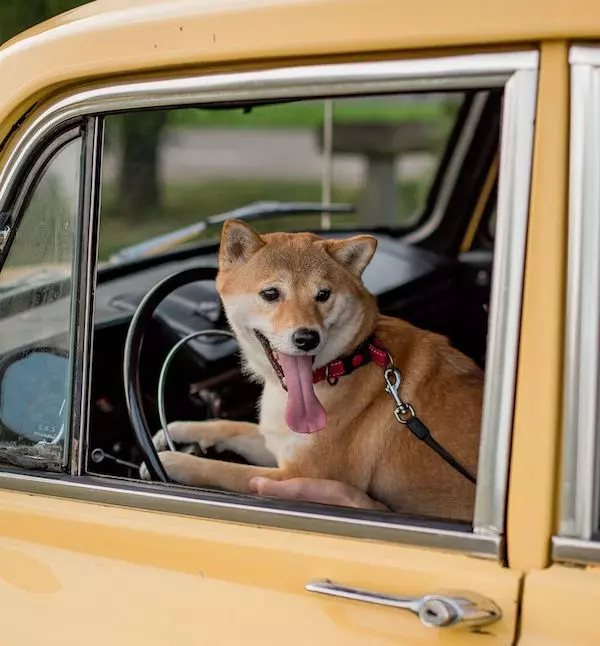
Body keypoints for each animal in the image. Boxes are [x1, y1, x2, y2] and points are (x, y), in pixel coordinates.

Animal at [143, 220, 486, 524]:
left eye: (323, 294)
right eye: (270, 293)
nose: (307, 338)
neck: (346, 362)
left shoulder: (298, 475)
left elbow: (227, 471)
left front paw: (173, 462)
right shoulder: (279, 444)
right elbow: (229, 426)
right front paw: (179, 429)